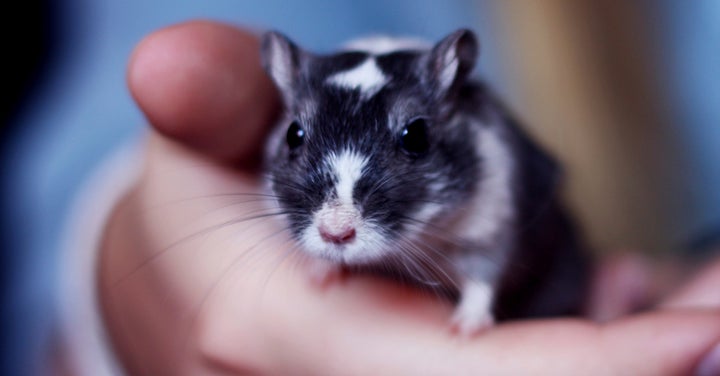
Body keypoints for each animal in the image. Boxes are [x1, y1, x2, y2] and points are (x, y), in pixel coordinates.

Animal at [258, 29, 592, 334]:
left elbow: (482, 280)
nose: (335, 233)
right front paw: (318, 277)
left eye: (417, 136)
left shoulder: (493, 228)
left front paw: (462, 330)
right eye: (293, 133)